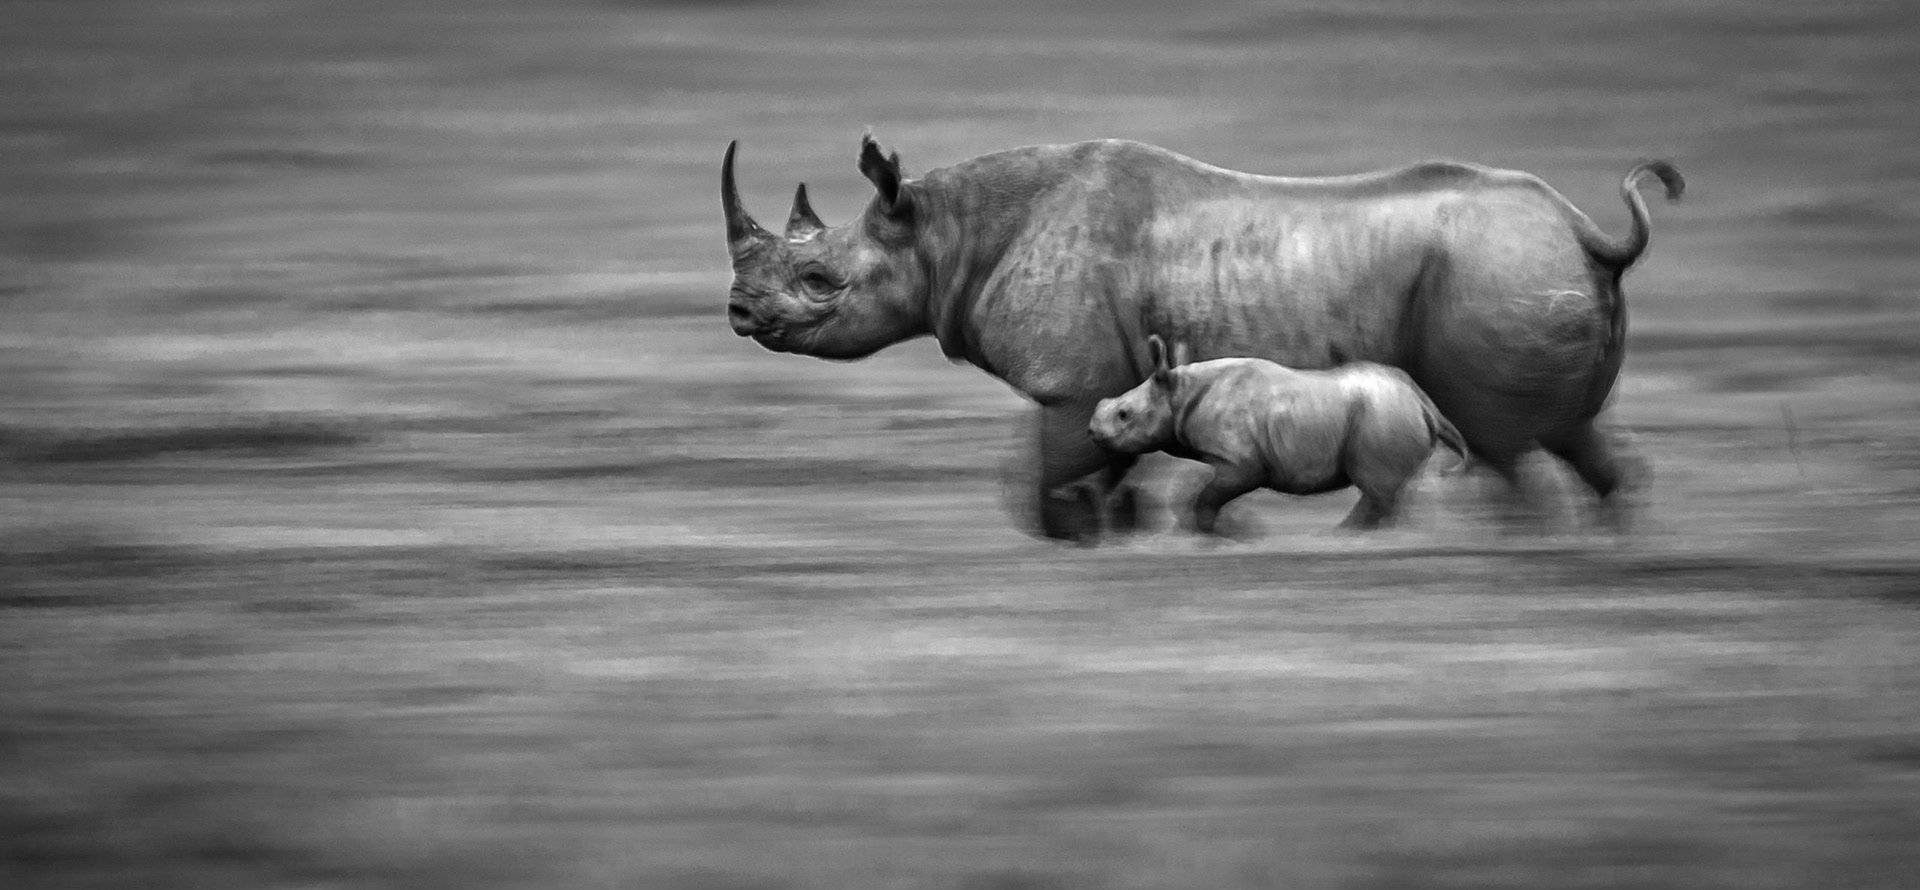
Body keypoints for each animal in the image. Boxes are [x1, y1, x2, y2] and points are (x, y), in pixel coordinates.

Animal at [1089, 335, 1471, 534]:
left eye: (1124, 414)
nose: (1092, 432)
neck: (1180, 390)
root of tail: (1423, 402)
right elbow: (1191, 489)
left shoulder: (1242, 462)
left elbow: (1208, 495)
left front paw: (1209, 533)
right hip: (1390, 412)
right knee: (1389, 491)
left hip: (1383, 415)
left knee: (1378, 489)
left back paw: (1351, 536)